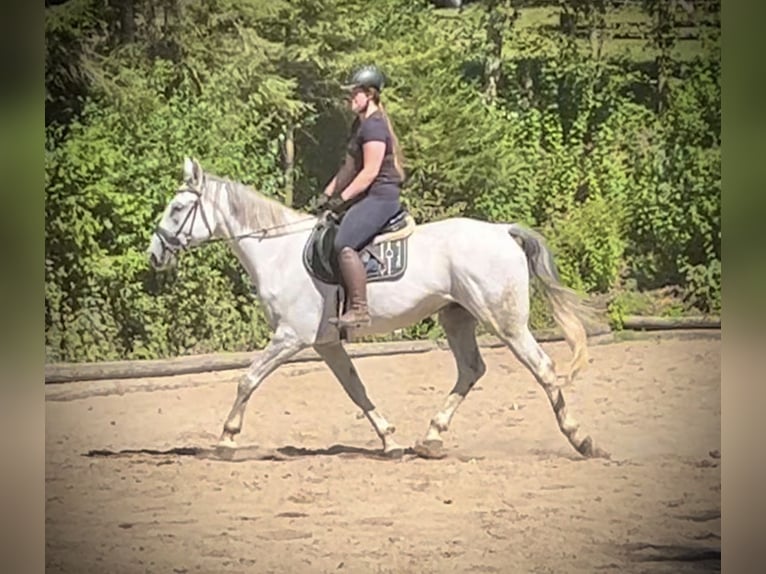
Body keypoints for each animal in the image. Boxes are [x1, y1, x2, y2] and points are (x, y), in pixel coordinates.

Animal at [147, 159, 608, 464]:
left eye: (177, 208)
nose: (154, 255)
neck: (278, 251)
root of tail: (502, 231)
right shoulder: (326, 344)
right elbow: (357, 389)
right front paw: (390, 440)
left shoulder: (291, 337)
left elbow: (247, 379)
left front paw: (226, 440)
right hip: (456, 316)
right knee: (471, 370)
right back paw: (431, 438)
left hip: (506, 321)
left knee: (543, 368)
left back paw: (582, 440)